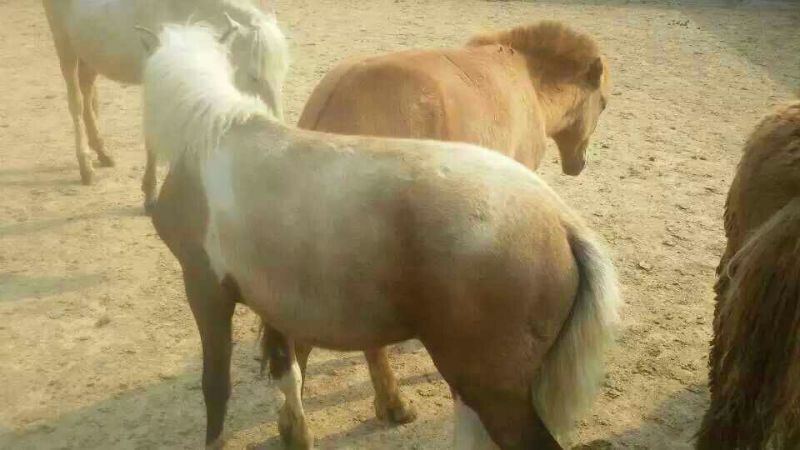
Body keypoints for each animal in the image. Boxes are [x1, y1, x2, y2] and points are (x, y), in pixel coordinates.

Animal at [41, 0, 288, 212]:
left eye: (282, 74)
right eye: (253, 76)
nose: (276, 130)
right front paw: (150, 194)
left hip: (89, 54)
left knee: (87, 93)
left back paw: (103, 153)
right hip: (64, 45)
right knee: (76, 101)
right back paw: (85, 166)